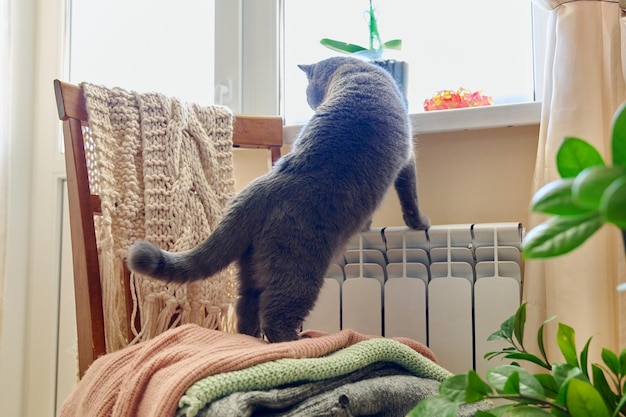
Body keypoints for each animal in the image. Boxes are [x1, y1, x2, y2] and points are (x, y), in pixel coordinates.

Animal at [127, 55, 428, 342]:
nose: (310, 101)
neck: (352, 69)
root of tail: (259, 191)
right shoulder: (408, 157)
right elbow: (410, 195)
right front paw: (420, 223)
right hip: (299, 271)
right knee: (274, 315)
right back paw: (297, 340)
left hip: (250, 266)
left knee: (247, 304)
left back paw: (251, 337)